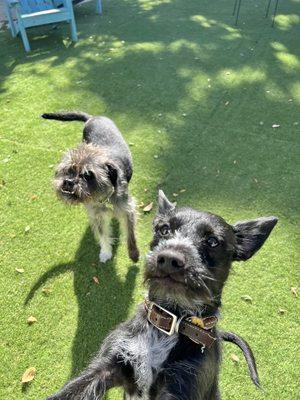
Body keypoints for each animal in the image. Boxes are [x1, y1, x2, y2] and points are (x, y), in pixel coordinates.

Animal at [41, 111, 139, 264]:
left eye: (88, 174)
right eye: (67, 169)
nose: (68, 182)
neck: (103, 197)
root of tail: (92, 117)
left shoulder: (128, 210)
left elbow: (131, 235)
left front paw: (134, 254)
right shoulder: (97, 216)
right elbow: (103, 235)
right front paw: (106, 252)